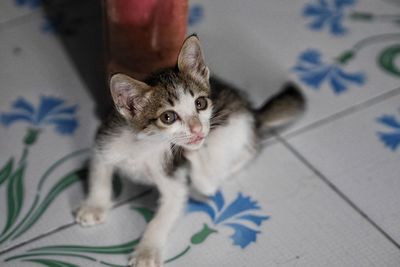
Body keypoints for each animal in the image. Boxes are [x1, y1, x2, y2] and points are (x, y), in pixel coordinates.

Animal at [76, 35, 304, 267]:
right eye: (168, 117)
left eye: (200, 103)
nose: (197, 128)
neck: (145, 145)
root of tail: (253, 114)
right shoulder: (106, 140)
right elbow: (99, 173)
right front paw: (95, 205)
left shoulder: (173, 176)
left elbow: (164, 215)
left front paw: (146, 251)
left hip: (226, 137)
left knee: (217, 178)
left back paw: (200, 171)